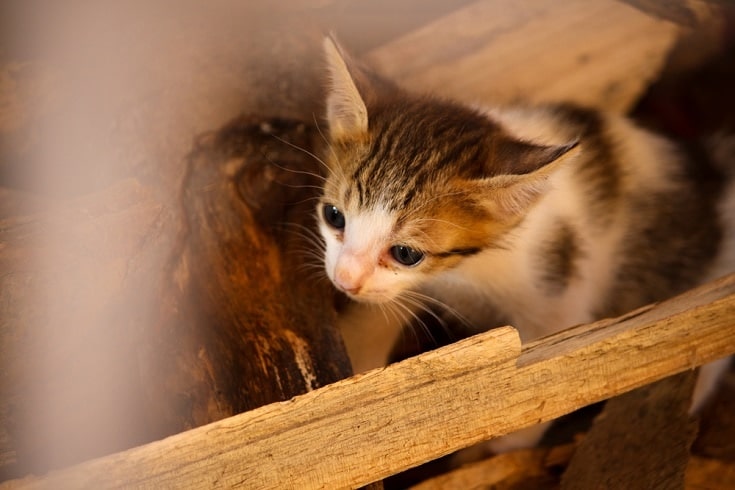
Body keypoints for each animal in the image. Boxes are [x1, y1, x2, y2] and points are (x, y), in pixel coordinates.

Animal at [316, 38, 735, 452]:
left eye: (406, 253)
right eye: (334, 216)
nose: (344, 280)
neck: (469, 270)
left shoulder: (559, 291)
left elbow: (548, 364)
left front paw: (503, 446)